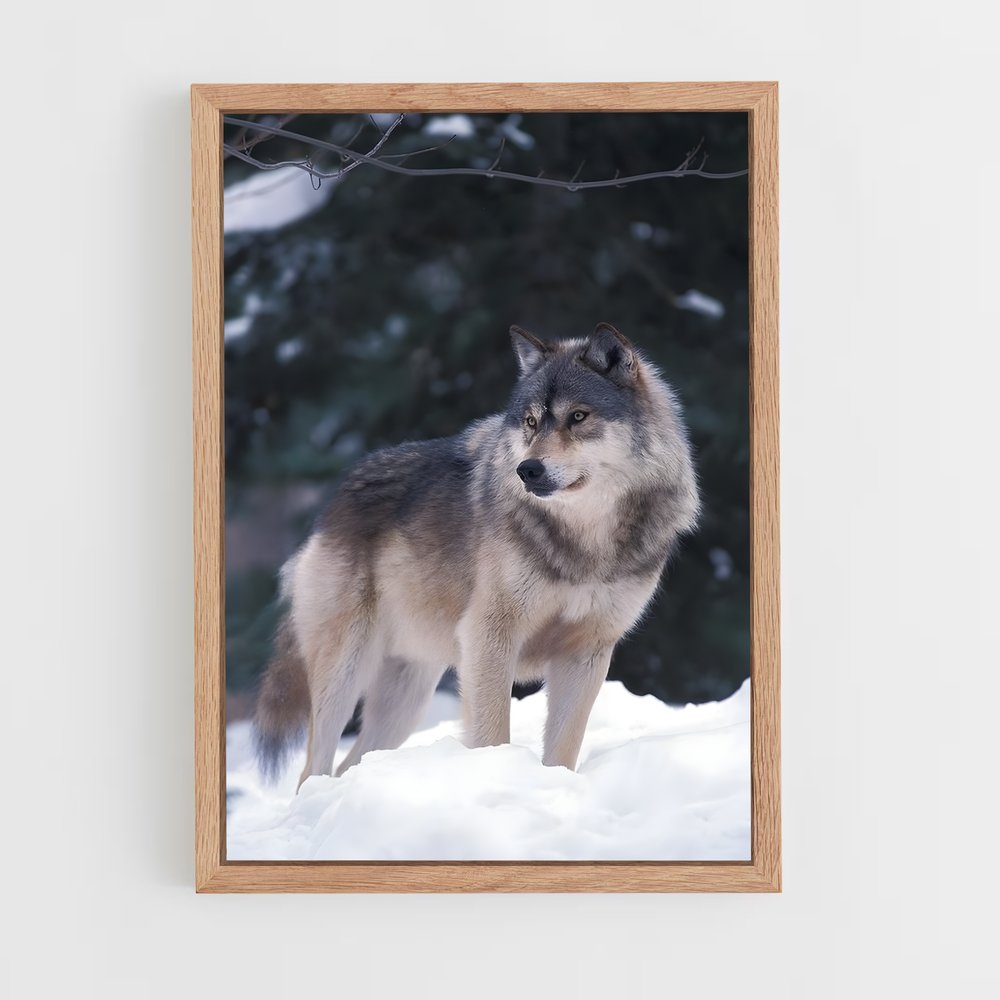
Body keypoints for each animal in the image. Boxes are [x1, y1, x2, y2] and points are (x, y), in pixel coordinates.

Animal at [253, 323, 700, 787]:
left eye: (578, 416)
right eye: (530, 421)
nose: (528, 470)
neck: (584, 542)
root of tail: (332, 503)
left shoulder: (587, 652)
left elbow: (563, 749)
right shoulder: (490, 636)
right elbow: (492, 733)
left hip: (406, 698)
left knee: (348, 765)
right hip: (347, 671)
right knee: (313, 769)